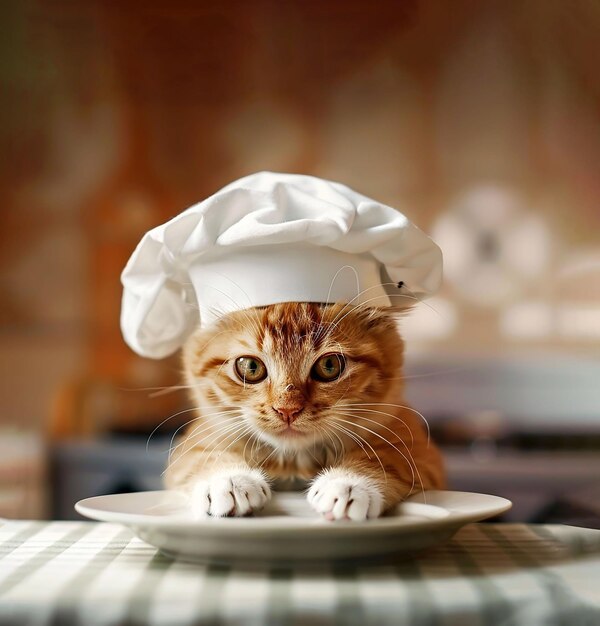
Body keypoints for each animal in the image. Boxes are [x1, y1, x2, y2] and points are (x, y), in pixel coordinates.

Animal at [165, 302, 446, 516]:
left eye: (330, 365)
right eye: (250, 367)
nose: (287, 410)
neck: (294, 460)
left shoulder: (416, 446)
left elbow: (383, 457)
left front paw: (347, 484)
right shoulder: (195, 440)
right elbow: (204, 456)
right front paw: (230, 481)